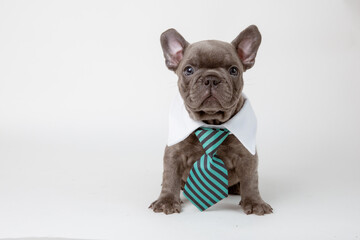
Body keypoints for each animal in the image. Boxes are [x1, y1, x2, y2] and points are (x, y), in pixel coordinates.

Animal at [150, 25, 272, 215]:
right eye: (189, 70)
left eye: (233, 70)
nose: (211, 79)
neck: (211, 122)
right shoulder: (174, 154)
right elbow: (170, 176)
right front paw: (167, 200)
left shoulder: (247, 156)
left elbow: (251, 180)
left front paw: (254, 202)